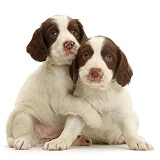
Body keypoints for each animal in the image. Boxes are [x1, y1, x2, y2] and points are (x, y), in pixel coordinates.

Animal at [6, 15, 102, 150]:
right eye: (53, 33)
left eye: (74, 31)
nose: (69, 44)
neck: (65, 68)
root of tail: (41, 139)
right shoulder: (60, 100)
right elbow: (79, 102)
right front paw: (95, 118)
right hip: (22, 115)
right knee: (23, 130)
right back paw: (22, 141)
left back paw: (80, 140)